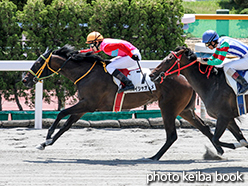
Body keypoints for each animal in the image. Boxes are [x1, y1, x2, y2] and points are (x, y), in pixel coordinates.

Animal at [21, 44, 223, 160]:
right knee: (204, 128)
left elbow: (61, 113)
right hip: (184, 110)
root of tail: (185, 78)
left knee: (172, 135)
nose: (25, 79)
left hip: (168, 108)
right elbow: (66, 126)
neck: (86, 73)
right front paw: (45, 143)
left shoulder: (89, 104)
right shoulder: (83, 107)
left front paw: (47, 136)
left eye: (37, 63)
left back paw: (154, 157)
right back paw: (219, 151)